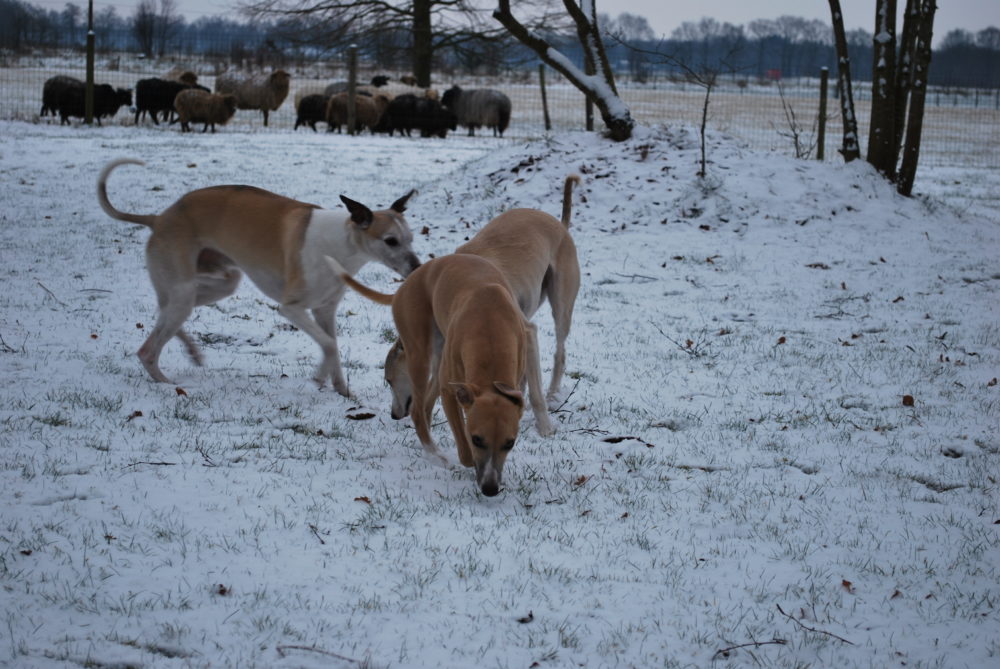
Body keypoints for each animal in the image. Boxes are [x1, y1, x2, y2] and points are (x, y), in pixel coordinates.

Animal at [97, 157, 418, 394]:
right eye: (391, 241)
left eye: (410, 238)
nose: (416, 268)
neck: (342, 243)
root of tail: (159, 218)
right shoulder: (291, 308)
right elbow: (328, 344)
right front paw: (318, 379)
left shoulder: (325, 310)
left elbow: (333, 345)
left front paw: (341, 391)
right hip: (184, 290)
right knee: (147, 350)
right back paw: (166, 383)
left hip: (217, 284)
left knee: (163, 313)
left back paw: (192, 353)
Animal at [336, 253, 544, 494]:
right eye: (476, 439)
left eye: (510, 443)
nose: (490, 489)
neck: (490, 325)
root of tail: (405, 285)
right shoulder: (450, 393)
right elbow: (464, 450)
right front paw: (467, 461)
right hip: (420, 354)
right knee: (417, 410)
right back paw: (435, 455)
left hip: (438, 354)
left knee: (425, 405)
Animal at [382, 172, 584, 434]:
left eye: (388, 379)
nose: (394, 415)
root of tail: (560, 225)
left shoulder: (525, 331)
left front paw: (545, 429)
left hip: (561, 302)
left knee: (560, 350)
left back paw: (550, 396)